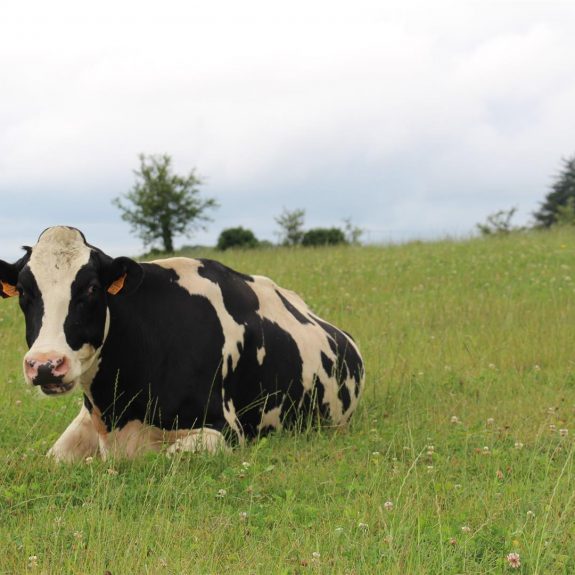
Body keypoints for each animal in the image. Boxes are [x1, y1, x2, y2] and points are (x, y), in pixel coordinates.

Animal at [0, 227, 366, 462]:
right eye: (24, 291)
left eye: (91, 288)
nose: (45, 365)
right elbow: (53, 457)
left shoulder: (226, 429)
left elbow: (169, 456)